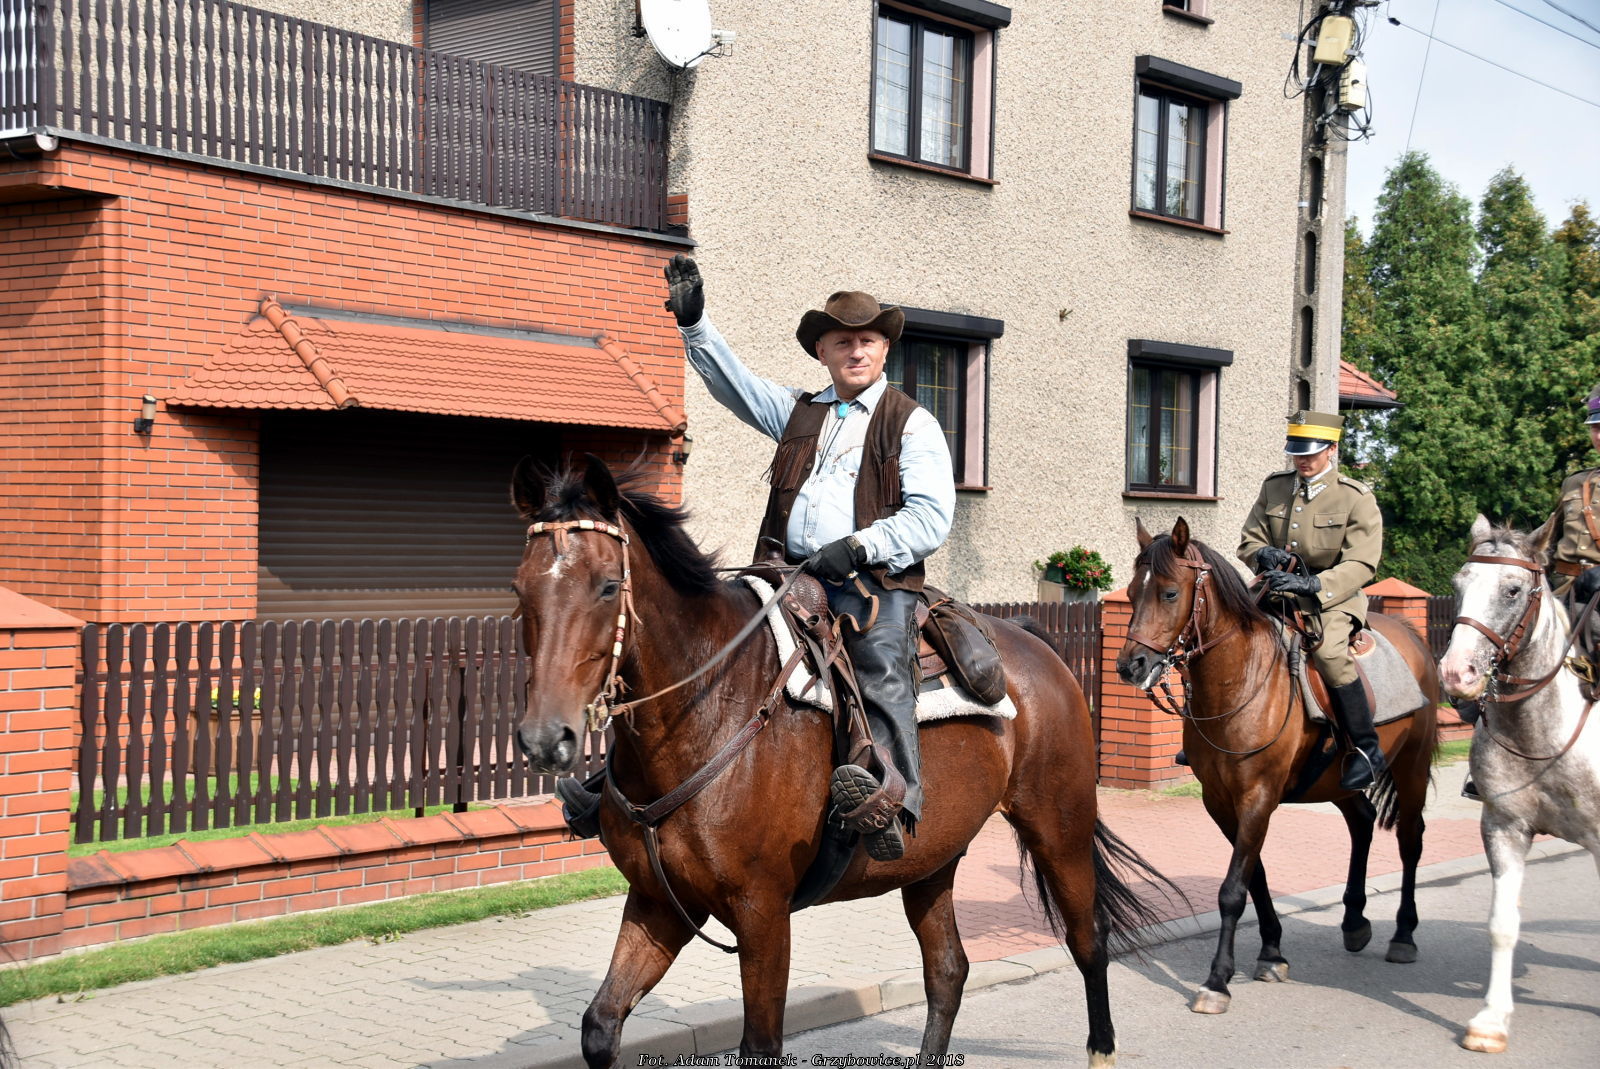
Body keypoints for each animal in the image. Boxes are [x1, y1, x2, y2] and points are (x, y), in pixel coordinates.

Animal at [509, 456, 1173, 1068]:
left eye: (607, 586)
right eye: (520, 590)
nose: (544, 738)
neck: (708, 709)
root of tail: (1037, 644)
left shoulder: (763, 914)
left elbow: (761, 1045)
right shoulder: (658, 902)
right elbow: (600, 1025)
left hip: (1058, 828)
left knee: (1088, 939)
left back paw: (1102, 1047)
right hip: (932, 861)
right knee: (948, 970)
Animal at [1114, 518, 1441, 1014]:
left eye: (1169, 593)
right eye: (1132, 592)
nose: (1131, 666)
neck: (1239, 681)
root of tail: (1411, 635)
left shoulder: (1258, 796)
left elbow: (1233, 889)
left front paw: (1217, 980)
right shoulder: (1220, 800)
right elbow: (1255, 876)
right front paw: (1271, 953)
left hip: (1412, 766)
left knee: (1410, 839)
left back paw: (1403, 934)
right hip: (1338, 780)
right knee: (1362, 822)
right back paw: (1354, 921)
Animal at [1437, 514, 1600, 1054]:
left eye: (1512, 589)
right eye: (1458, 584)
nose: (1456, 673)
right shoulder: (1505, 829)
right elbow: (1502, 924)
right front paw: (1491, 1020)